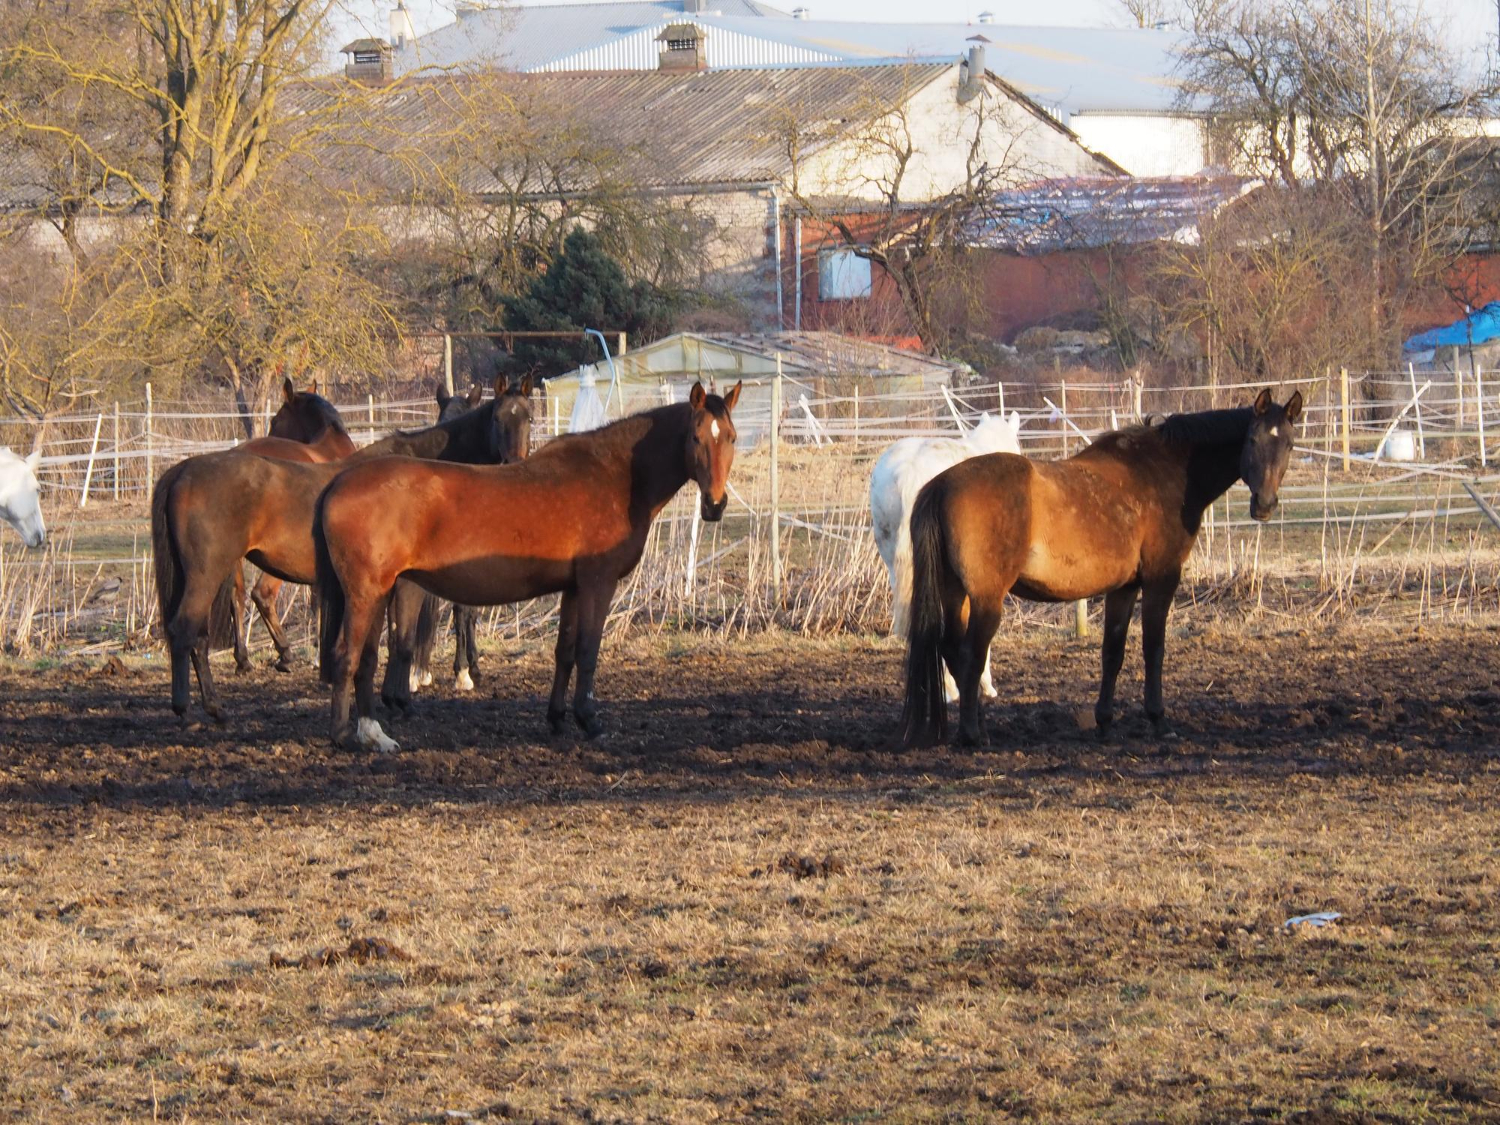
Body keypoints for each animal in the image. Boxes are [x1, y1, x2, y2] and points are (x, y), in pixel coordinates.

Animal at [152, 379, 534, 723]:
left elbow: (393, 639)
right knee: (186, 630)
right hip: (206, 575)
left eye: (528, 417)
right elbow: (406, 639)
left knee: (200, 635)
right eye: (498, 418)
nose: (513, 462)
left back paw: (215, 703)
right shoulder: (407, 583)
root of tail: (182, 470)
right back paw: (190, 709)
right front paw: (405, 698)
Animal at [900, 393, 1302, 753]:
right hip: (987, 599)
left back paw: (979, 727)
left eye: (1289, 444)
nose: (1264, 505)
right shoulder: (1161, 579)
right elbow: (1154, 648)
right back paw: (973, 735)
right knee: (971, 654)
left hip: (957, 593)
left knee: (953, 649)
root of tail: (942, 484)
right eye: (1253, 439)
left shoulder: (1123, 588)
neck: (1163, 473)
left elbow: (1113, 653)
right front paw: (1158, 720)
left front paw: (1105, 723)